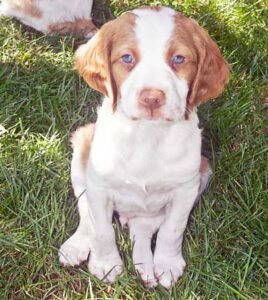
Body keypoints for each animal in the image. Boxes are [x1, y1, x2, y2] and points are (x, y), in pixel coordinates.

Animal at [58, 6, 228, 288]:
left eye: (178, 59)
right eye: (127, 57)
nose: (152, 98)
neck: (147, 135)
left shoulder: (186, 189)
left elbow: (172, 229)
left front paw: (167, 264)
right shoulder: (99, 186)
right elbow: (102, 229)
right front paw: (106, 264)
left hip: (202, 172)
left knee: (144, 229)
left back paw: (146, 269)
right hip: (83, 146)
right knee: (86, 214)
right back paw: (77, 246)